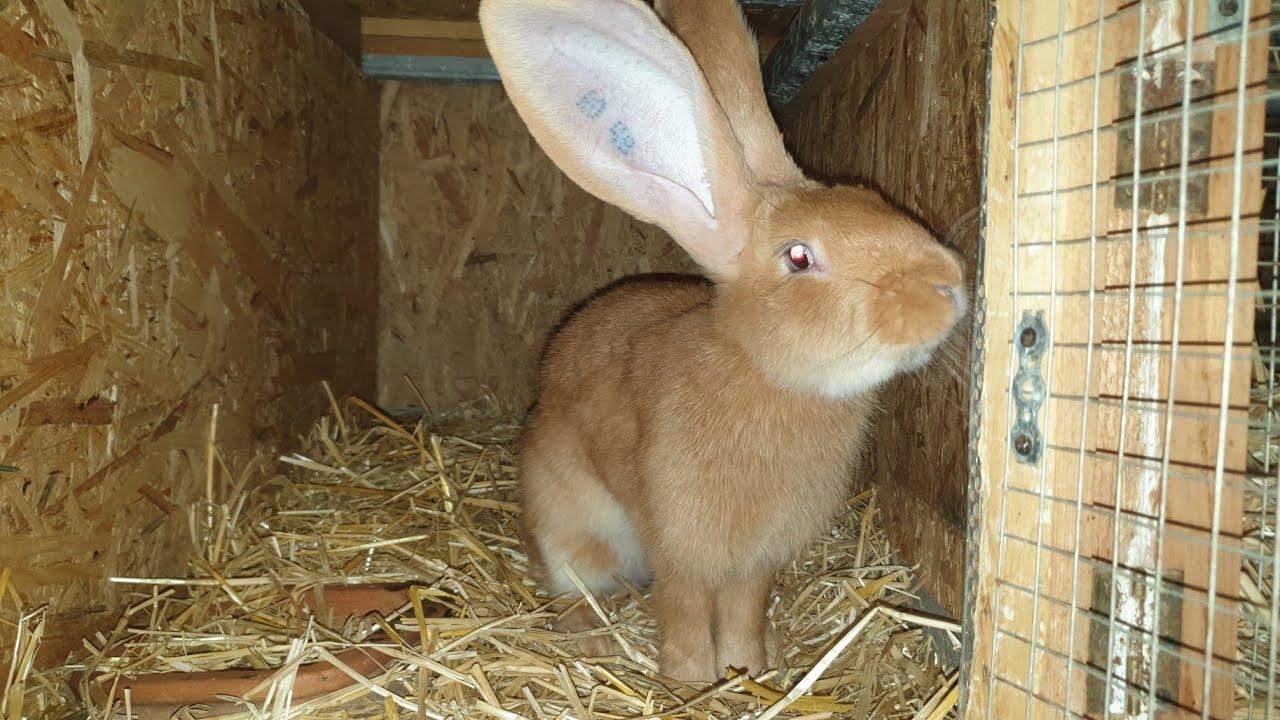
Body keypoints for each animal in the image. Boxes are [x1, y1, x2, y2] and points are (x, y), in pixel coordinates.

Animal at [478, 0, 967, 683]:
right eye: (799, 256)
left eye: (872, 200)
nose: (949, 284)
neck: (764, 374)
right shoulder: (680, 541)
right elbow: (685, 611)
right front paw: (689, 682)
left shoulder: (755, 559)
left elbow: (743, 609)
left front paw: (749, 671)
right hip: (568, 524)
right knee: (572, 585)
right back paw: (591, 639)